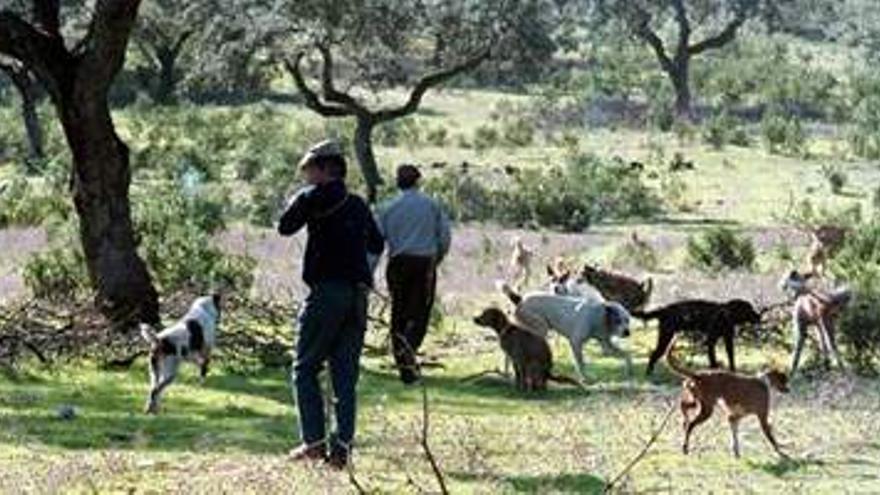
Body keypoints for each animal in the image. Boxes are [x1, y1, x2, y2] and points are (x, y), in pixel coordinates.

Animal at [498, 282, 628, 380]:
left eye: (627, 320)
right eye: (618, 320)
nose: (627, 332)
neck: (599, 314)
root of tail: (520, 299)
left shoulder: (606, 344)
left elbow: (626, 355)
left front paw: (629, 371)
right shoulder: (575, 343)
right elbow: (580, 363)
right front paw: (585, 378)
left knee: (509, 353)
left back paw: (507, 373)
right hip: (540, 329)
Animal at [632, 298, 764, 376]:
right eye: (749, 309)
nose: (758, 316)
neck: (725, 315)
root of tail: (664, 309)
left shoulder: (728, 340)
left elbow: (731, 358)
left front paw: (733, 372)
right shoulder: (710, 341)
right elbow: (713, 360)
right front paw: (714, 371)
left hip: (666, 337)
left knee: (655, 354)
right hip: (666, 336)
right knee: (654, 354)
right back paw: (649, 374)